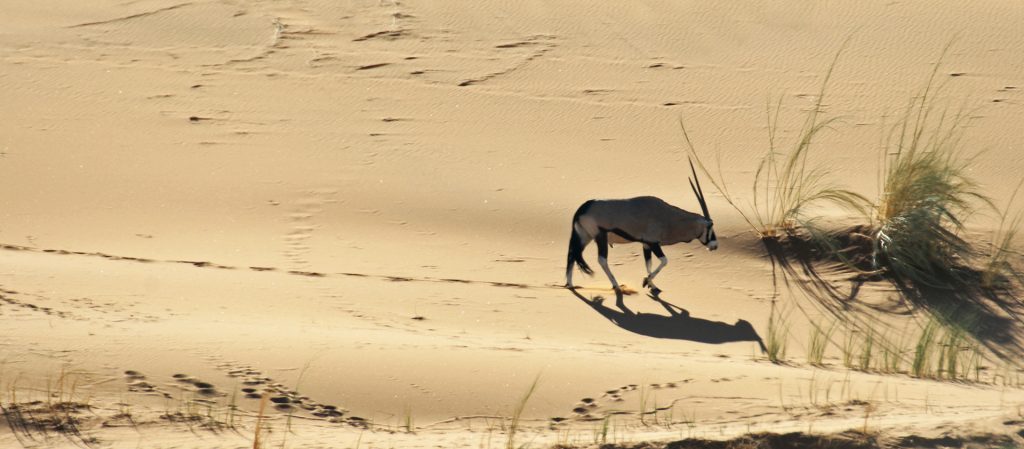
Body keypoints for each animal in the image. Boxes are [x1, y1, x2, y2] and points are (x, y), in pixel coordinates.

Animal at [565, 159, 716, 293]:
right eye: (710, 226)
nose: (715, 246)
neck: (668, 217)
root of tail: (583, 208)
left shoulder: (646, 244)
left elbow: (648, 264)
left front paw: (652, 285)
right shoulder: (653, 243)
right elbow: (664, 261)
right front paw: (646, 281)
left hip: (585, 237)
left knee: (573, 253)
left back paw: (570, 284)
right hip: (600, 236)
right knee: (601, 260)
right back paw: (616, 285)